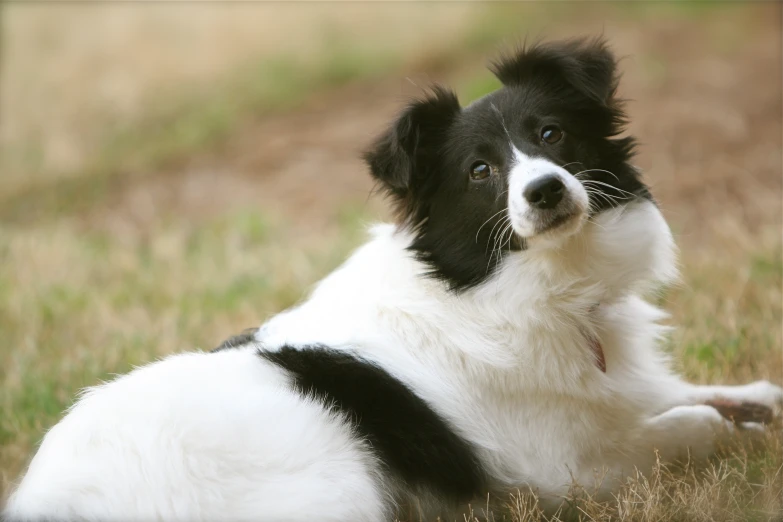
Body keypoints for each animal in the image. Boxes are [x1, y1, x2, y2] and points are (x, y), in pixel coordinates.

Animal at [6, 37, 783, 520]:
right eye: (479, 171)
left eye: (552, 134)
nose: (545, 191)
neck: (503, 286)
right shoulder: (563, 473)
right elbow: (689, 424)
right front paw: (733, 430)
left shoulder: (618, 393)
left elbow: (692, 392)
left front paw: (755, 396)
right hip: (337, 483)